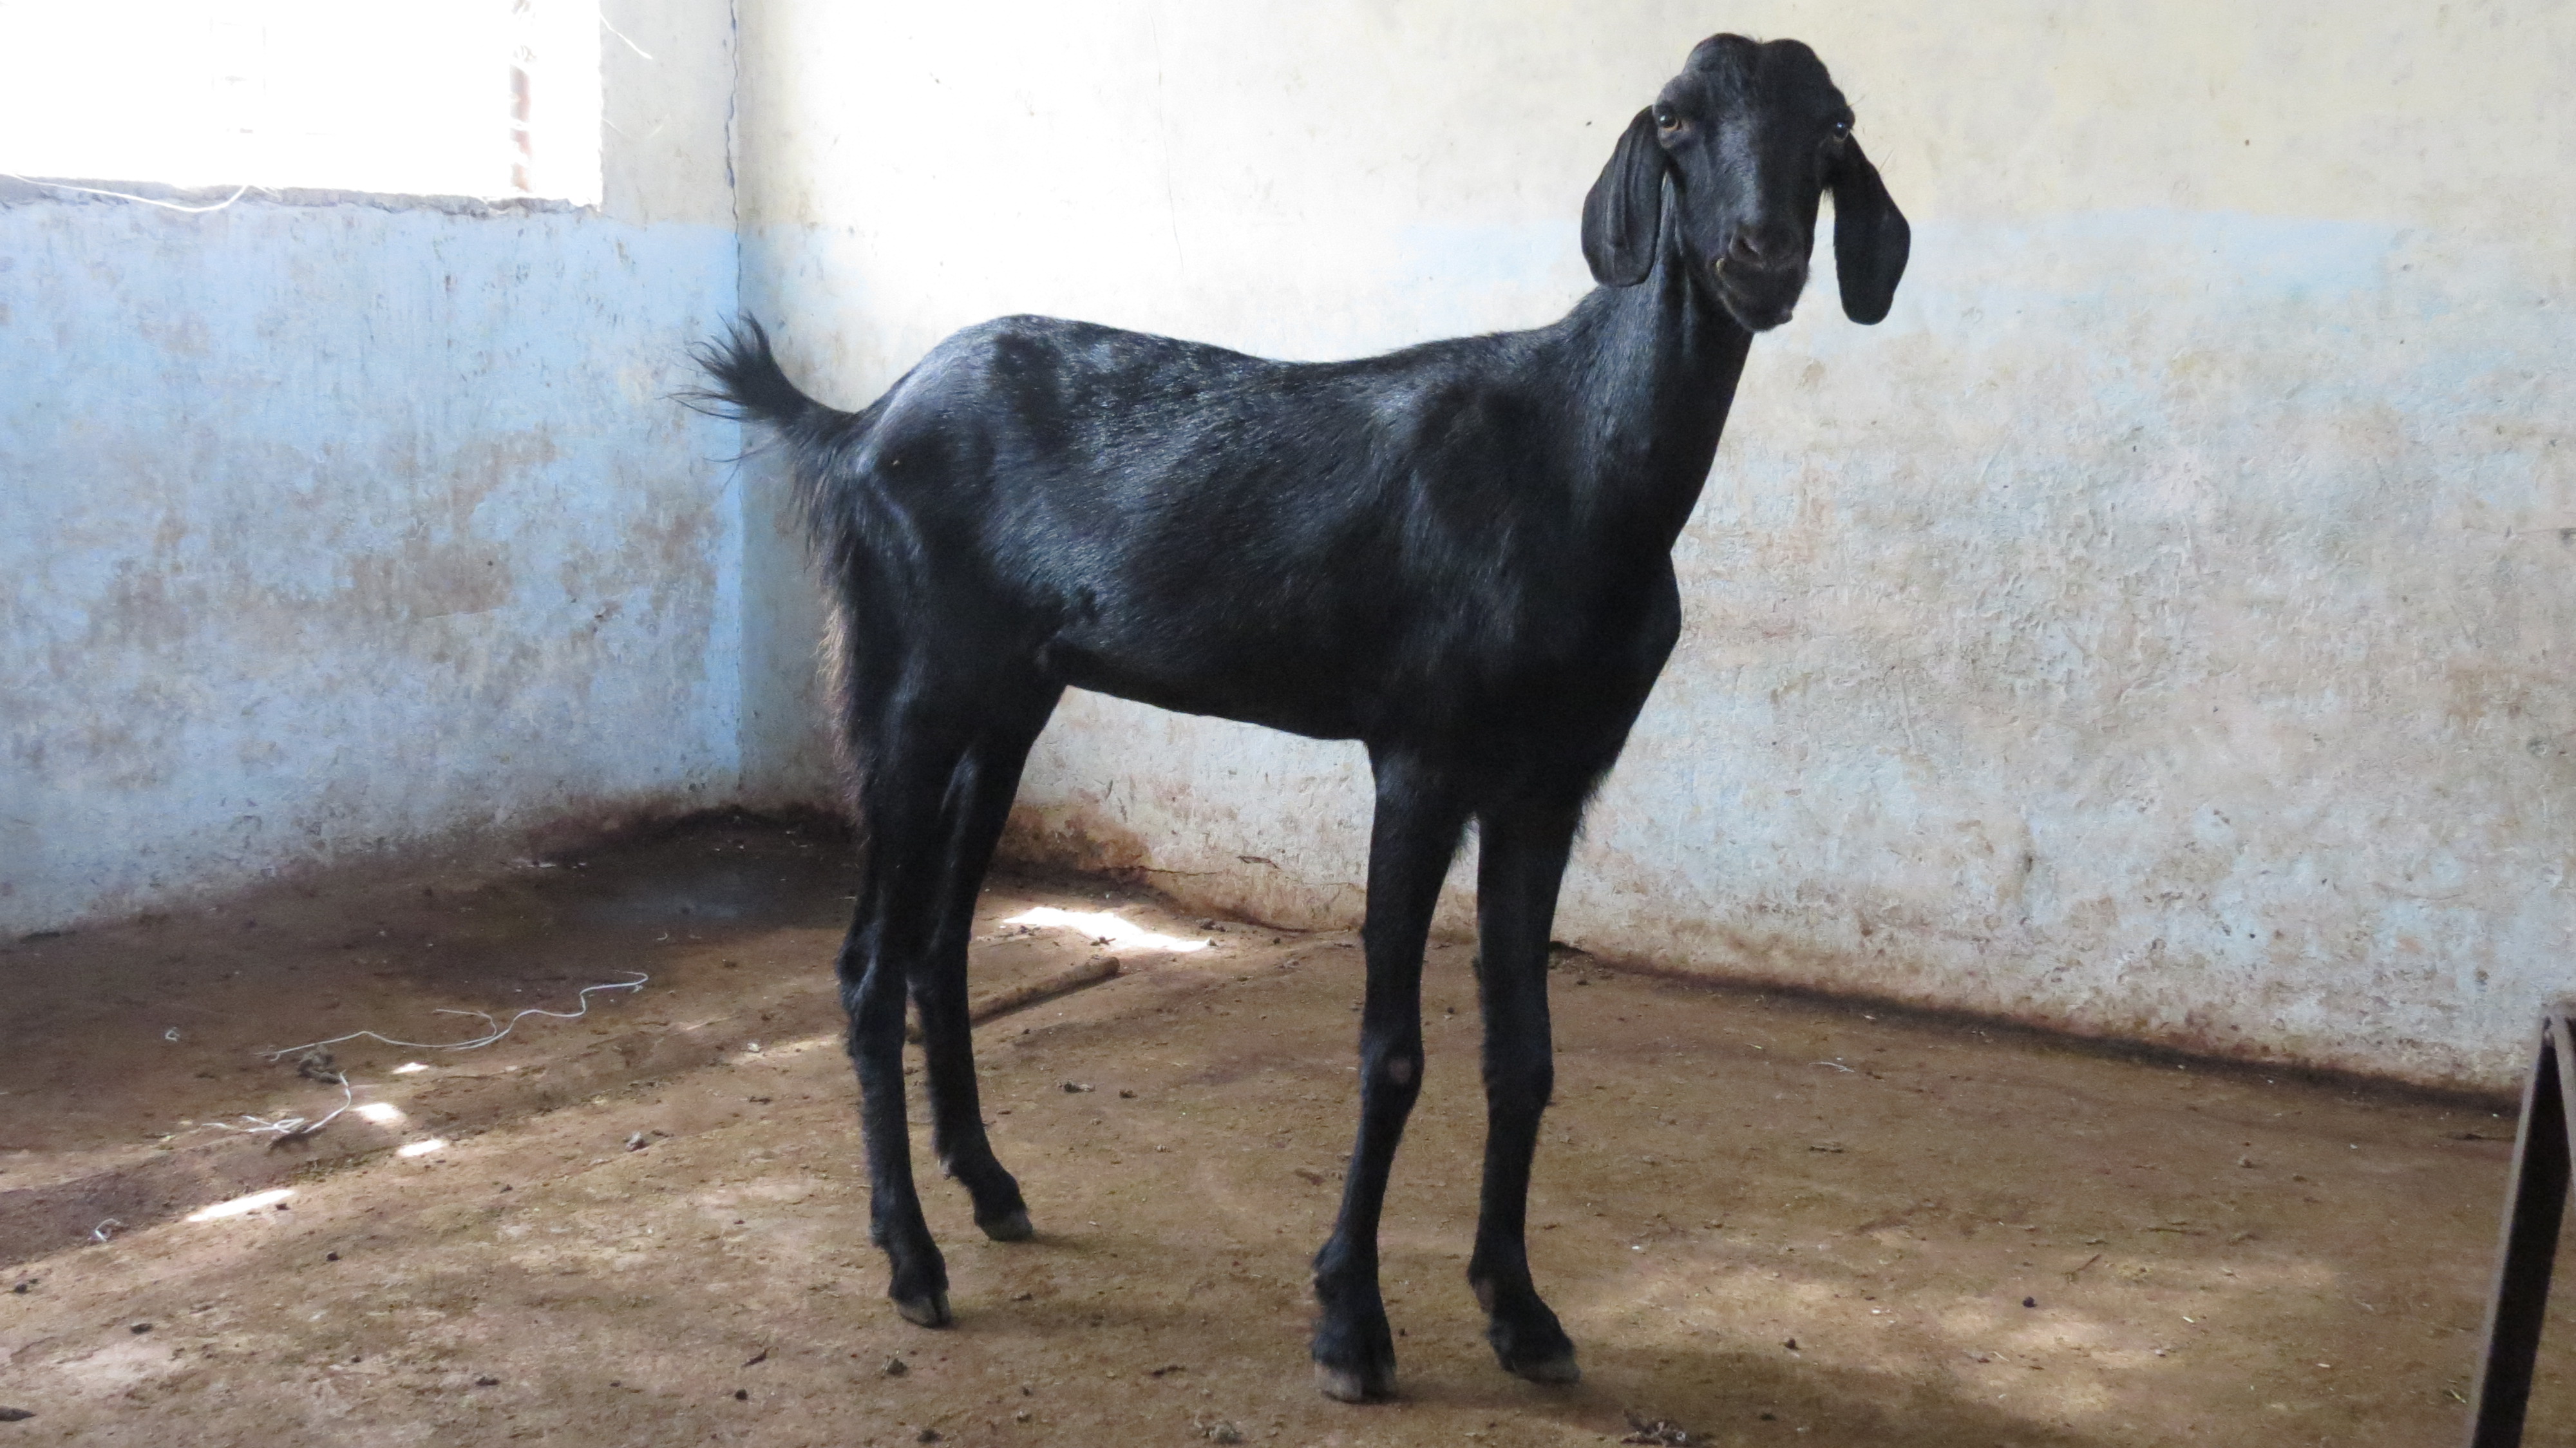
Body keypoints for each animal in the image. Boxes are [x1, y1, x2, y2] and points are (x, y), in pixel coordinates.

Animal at [692, 32, 1907, 1403]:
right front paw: (1351, 1324)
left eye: (1834, 125)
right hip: (909, 672)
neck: (1572, 464)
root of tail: (862, 422)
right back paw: (910, 1257)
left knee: (937, 939)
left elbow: (1527, 1052)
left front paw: (1522, 1311)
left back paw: (992, 1187)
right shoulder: (1422, 754)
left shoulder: (1552, 783)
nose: (1763, 258)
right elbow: (1393, 1051)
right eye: (1676, 120)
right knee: (865, 960)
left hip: (1013, 692)